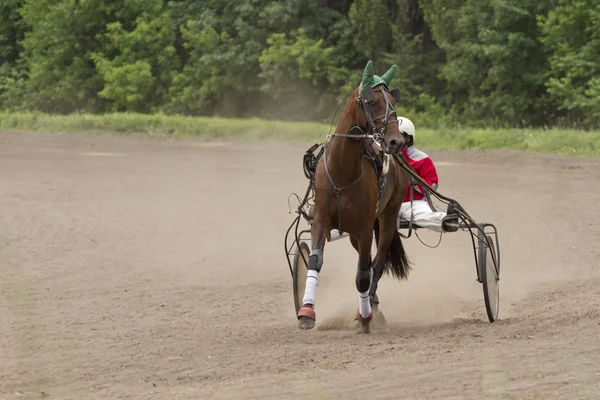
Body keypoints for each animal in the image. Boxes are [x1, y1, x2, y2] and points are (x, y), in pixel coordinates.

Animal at [296, 61, 410, 332]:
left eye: (393, 101)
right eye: (373, 101)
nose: (396, 141)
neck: (342, 171)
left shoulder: (365, 226)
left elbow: (363, 276)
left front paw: (364, 317)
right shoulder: (321, 220)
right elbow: (315, 262)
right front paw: (306, 312)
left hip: (387, 219)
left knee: (375, 265)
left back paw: (371, 308)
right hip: (354, 235)